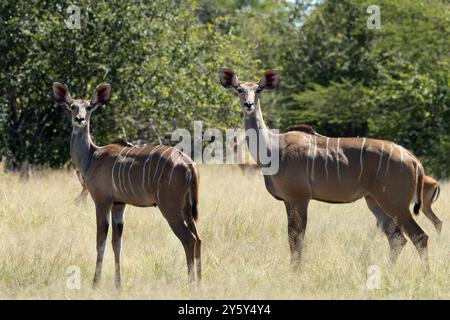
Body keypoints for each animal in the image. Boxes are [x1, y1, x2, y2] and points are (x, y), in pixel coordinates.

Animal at [52, 81, 200, 286]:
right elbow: (117, 243)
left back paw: (191, 284)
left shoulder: (102, 202)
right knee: (199, 238)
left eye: (89, 107)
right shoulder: (119, 204)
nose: (79, 119)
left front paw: (95, 283)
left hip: (170, 209)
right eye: (72, 106)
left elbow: (101, 241)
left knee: (189, 239)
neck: (92, 156)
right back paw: (200, 281)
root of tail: (188, 163)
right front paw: (118, 284)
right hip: (187, 210)